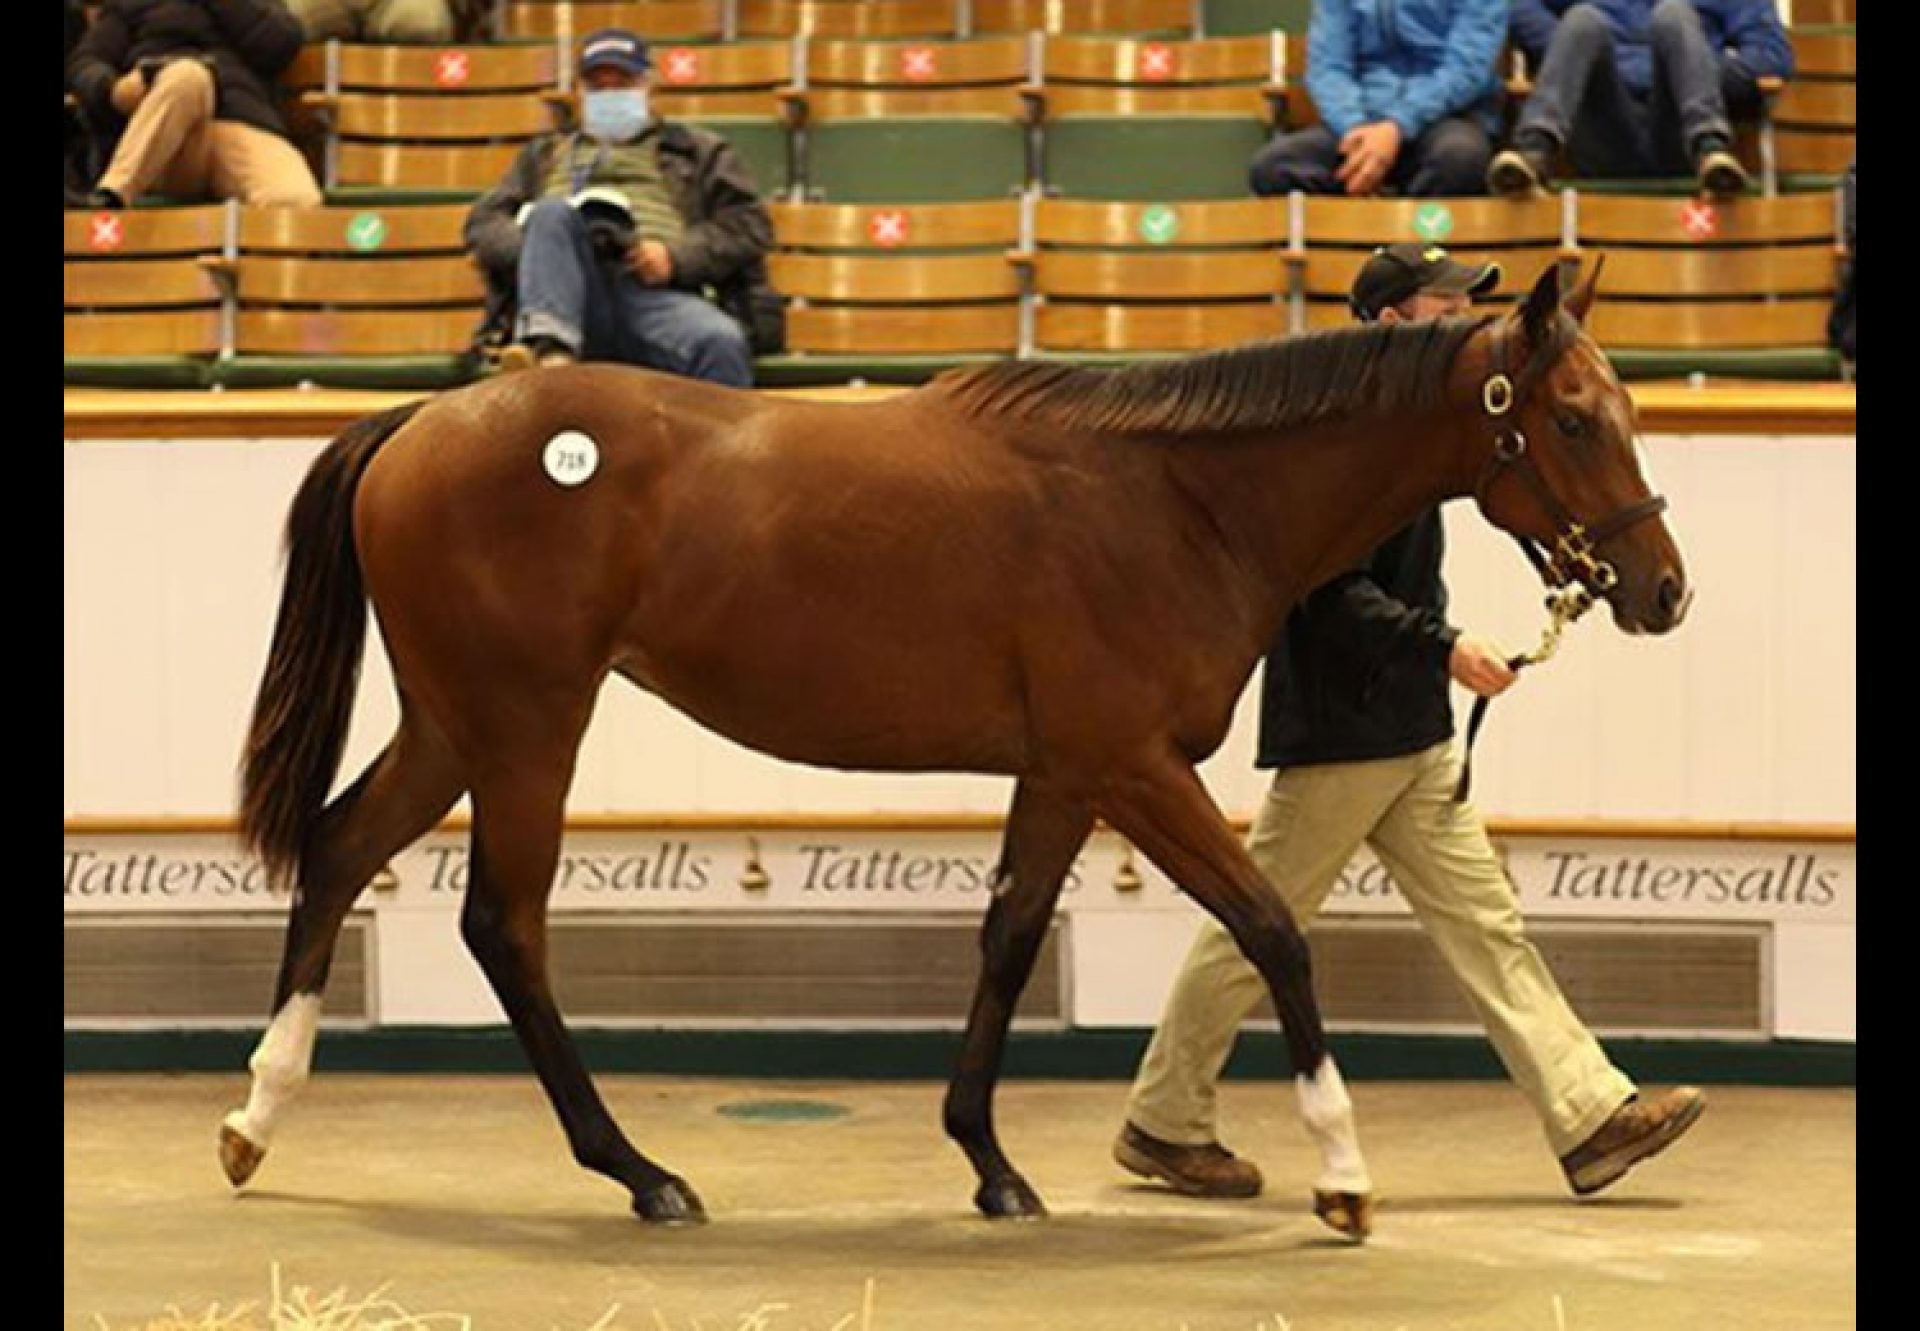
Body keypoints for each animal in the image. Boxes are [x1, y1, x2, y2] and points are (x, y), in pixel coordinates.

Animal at [224, 257, 1689, 1236]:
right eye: (1571, 417)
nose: (1663, 588)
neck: (1182, 497)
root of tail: (421, 421)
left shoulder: (1062, 773)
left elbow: (1009, 936)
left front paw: (990, 1160)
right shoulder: (1133, 764)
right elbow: (1273, 929)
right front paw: (1342, 1175)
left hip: (455, 720)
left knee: (342, 847)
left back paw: (253, 1119)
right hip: (527, 721)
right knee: (504, 923)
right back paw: (641, 1171)